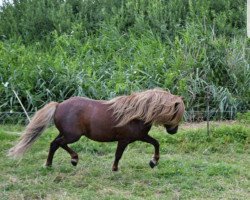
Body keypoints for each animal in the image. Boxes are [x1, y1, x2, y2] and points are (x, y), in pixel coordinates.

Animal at [8, 88, 184, 171]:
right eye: (176, 114)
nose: (173, 131)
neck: (136, 114)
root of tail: (58, 105)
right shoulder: (124, 140)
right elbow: (118, 155)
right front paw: (115, 169)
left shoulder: (140, 136)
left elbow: (156, 143)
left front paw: (153, 162)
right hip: (72, 136)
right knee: (58, 144)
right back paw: (71, 160)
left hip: (65, 133)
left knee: (54, 144)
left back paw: (53, 164)